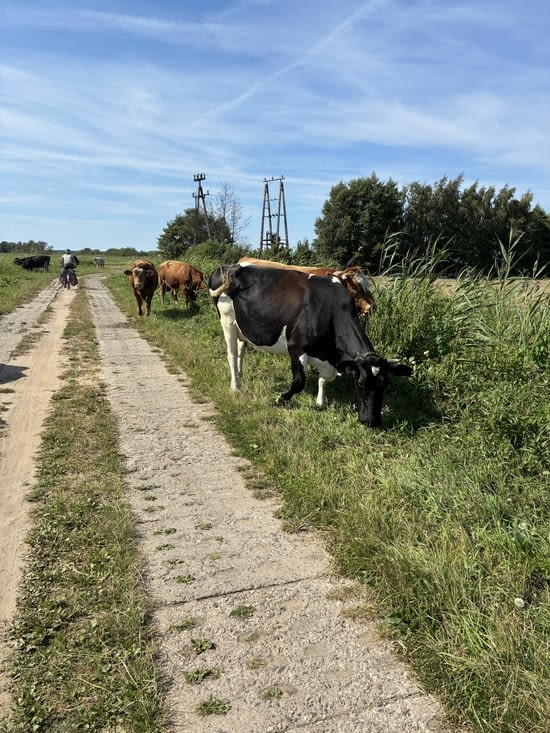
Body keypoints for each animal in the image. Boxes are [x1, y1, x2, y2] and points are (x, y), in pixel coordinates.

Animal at [208, 264, 411, 427]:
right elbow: (299, 381)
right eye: (360, 384)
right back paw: (235, 386)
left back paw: (241, 375)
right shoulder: (296, 347)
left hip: (243, 327)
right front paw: (280, 398)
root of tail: (227, 267)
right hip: (227, 320)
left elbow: (326, 378)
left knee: (242, 349)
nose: (372, 422)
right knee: (231, 354)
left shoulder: (326, 356)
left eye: (385, 384)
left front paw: (320, 401)